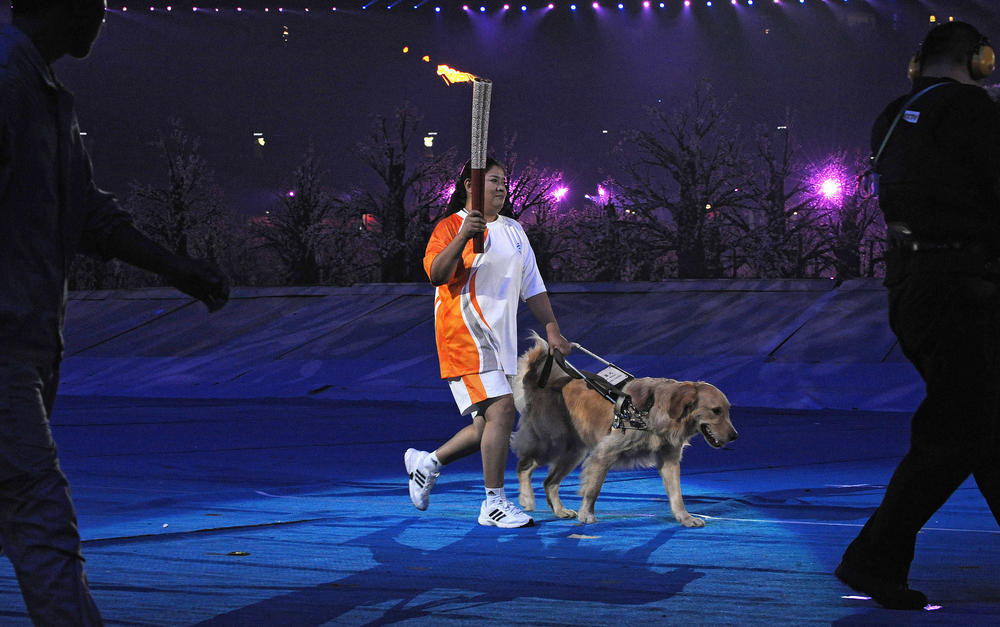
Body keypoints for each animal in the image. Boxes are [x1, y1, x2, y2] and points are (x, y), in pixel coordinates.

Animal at [516, 338, 736, 524]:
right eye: (716, 411)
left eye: (727, 410)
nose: (735, 436)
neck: (650, 410)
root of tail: (541, 386)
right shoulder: (604, 453)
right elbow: (593, 489)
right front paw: (586, 514)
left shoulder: (669, 460)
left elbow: (677, 495)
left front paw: (685, 518)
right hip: (552, 443)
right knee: (524, 465)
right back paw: (526, 497)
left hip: (573, 453)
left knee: (549, 482)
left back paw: (560, 510)